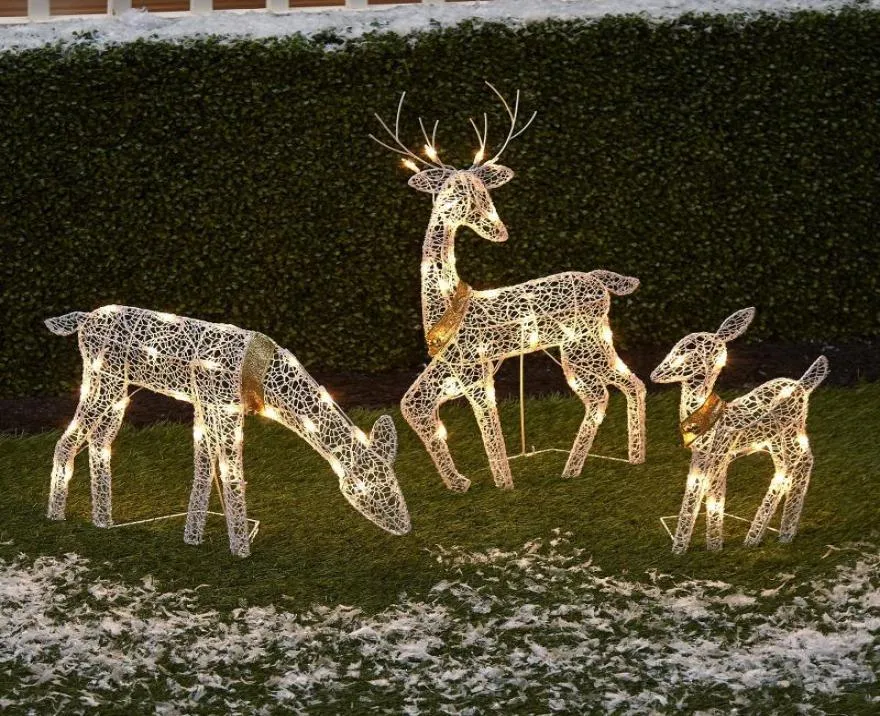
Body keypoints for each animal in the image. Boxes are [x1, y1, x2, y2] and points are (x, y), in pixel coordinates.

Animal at [44, 304, 410, 556]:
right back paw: (55, 517)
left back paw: (103, 521)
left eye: (394, 482)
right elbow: (231, 473)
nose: (404, 527)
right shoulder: (223, 406)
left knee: (99, 440)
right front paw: (240, 551)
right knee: (68, 439)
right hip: (103, 379)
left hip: (118, 388)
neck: (266, 380)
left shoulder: (204, 406)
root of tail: (83, 319)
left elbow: (203, 470)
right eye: (366, 486)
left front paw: (193, 538)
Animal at [372, 85, 648, 492]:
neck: (443, 304)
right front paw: (459, 482)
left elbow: (488, 424)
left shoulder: (474, 370)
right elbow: (413, 407)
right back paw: (627, 458)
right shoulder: (453, 372)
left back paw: (577, 467)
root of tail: (600, 280)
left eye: (485, 192)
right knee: (626, 386)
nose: (498, 230)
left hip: (582, 346)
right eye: (454, 192)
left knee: (606, 393)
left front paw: (503, 483)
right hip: (591, 344)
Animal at [648, 308, 828, 552]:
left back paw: (766, 535)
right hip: (778, 441)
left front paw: (713, 546)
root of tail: (802, 385)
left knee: (797, 465)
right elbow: (693, 492)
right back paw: (772, 534)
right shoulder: (701, 457)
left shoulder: (719, 457)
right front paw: (679, 547)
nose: (655, 374)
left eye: (689, 349)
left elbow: (714, 496)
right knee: (794, 465)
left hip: (790, 433)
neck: (709, 416)